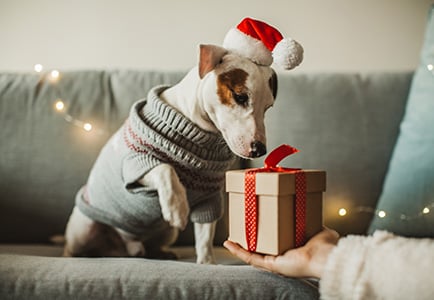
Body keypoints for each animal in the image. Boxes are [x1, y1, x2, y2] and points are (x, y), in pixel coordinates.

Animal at [63, 18, 302, 264]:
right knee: (74, 248)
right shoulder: (134, 166)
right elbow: (165, 168)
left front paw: (206, 263)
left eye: (268, 107)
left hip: (167, 233)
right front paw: (177, 208)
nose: (260, 149)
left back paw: (160, 253)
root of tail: (124, 248)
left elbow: (205, 236)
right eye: (240, 97)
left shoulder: (209, 196)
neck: (196, 128)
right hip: (83, 229)